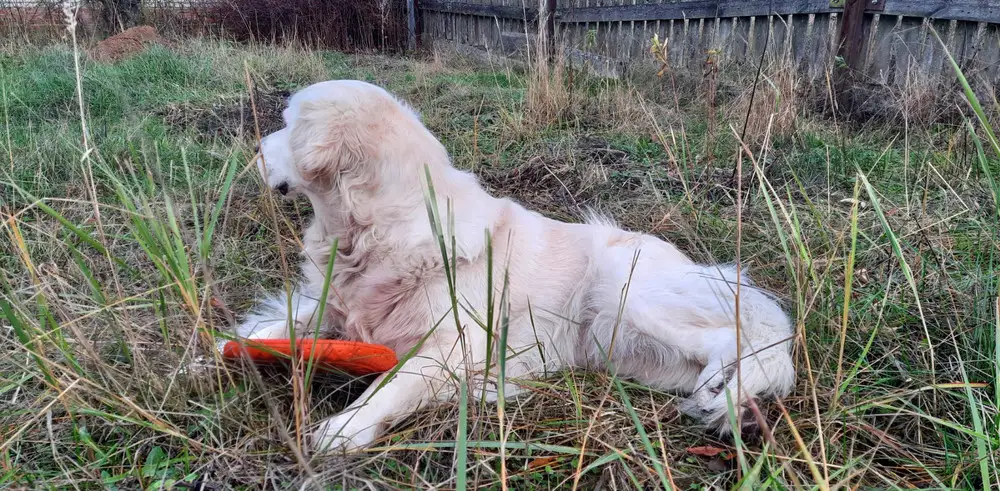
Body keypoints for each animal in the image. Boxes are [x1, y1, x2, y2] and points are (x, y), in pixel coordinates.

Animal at [234, 79, 796, 452]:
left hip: (628, 296)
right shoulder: (336, 307)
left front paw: (343, 428)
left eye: (285, 124)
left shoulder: (449, 344)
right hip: (621, 349)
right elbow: (285, 322)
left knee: (735, 340)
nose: (254, 148)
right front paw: (227, 348)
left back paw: (721, 392)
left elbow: (388, 386)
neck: (375, 232)